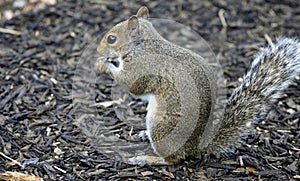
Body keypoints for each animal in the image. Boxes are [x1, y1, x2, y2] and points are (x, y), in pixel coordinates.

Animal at [95, 6, 300, 165]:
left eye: (111, 38)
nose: (98, 50)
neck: (143, 44)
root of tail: (197, 147)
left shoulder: (142, 67)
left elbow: (131, 84)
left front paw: (103, 65)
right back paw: (145, 136)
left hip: (162, 126)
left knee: (173, 159)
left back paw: (148, 159)